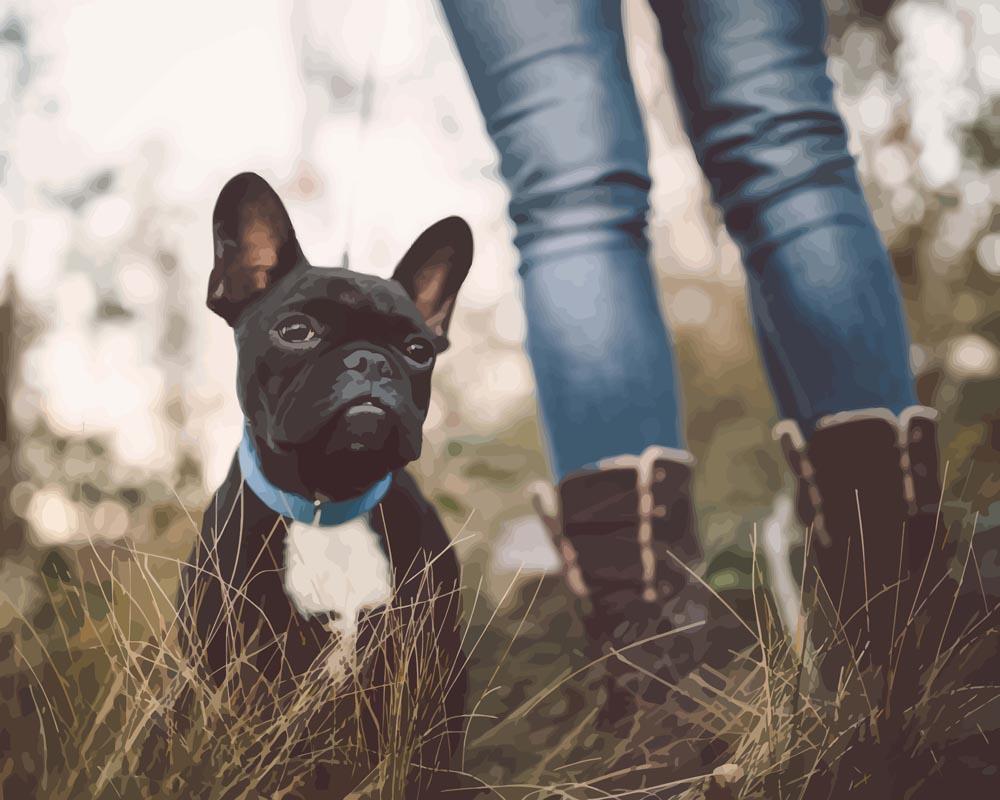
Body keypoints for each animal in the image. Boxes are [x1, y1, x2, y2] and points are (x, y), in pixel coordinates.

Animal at [179, 172, 472, 796]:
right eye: (297, 331)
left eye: (418, 350)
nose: (371, 361)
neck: (326, 502)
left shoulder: (433, 668)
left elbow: (431, 765)